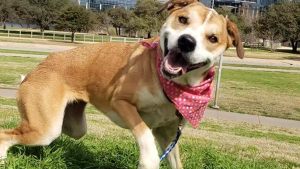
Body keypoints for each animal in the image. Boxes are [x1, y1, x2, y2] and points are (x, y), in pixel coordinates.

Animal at [0, 0, 244, 168]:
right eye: (183, 19)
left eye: (213, 38)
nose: (186, 41)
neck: (170, 85)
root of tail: (36, 69)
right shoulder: (121, 102)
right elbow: (144, 134)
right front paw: (149, 160)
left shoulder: (168, 134)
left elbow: (174, 161)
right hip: (45, 129)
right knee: (5, 134)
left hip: (70, 124)